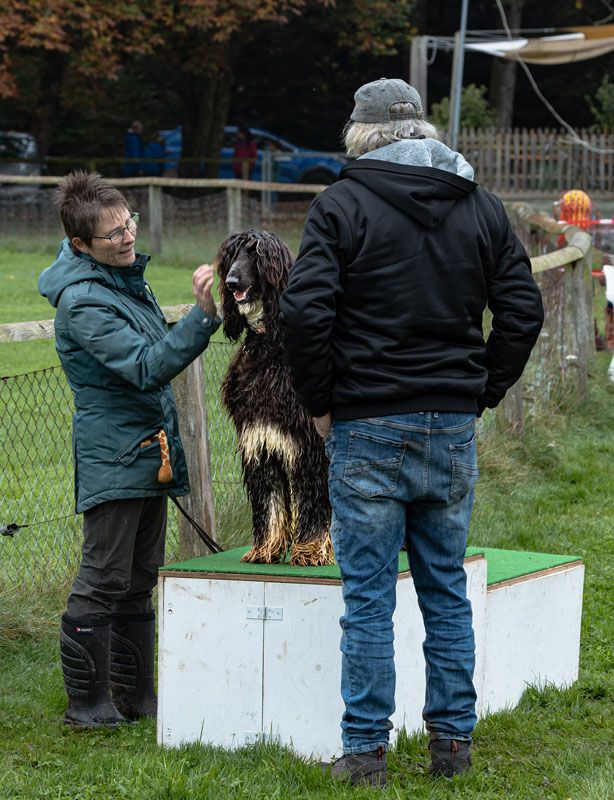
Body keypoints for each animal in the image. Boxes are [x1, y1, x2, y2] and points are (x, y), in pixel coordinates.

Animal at [216, 229, 333, 566]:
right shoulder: (260, 435)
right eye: (231, 255)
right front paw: (266, 547)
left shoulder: (308, 442)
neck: (272, 345)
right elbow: (269, 498)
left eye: (256, 254)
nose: (232, 282)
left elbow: (312, 497)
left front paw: (311, 549)